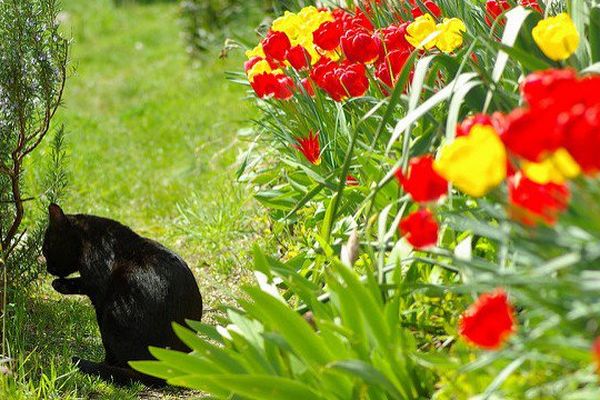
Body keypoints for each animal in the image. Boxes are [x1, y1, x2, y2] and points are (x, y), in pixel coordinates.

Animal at [42, 205, 204, 386]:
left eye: (45, 249)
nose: (48, 269)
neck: (90, 238)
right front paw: (60, 284)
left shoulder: (99, 290)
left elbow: (85, 285)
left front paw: (60, 284)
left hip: (113, 311)